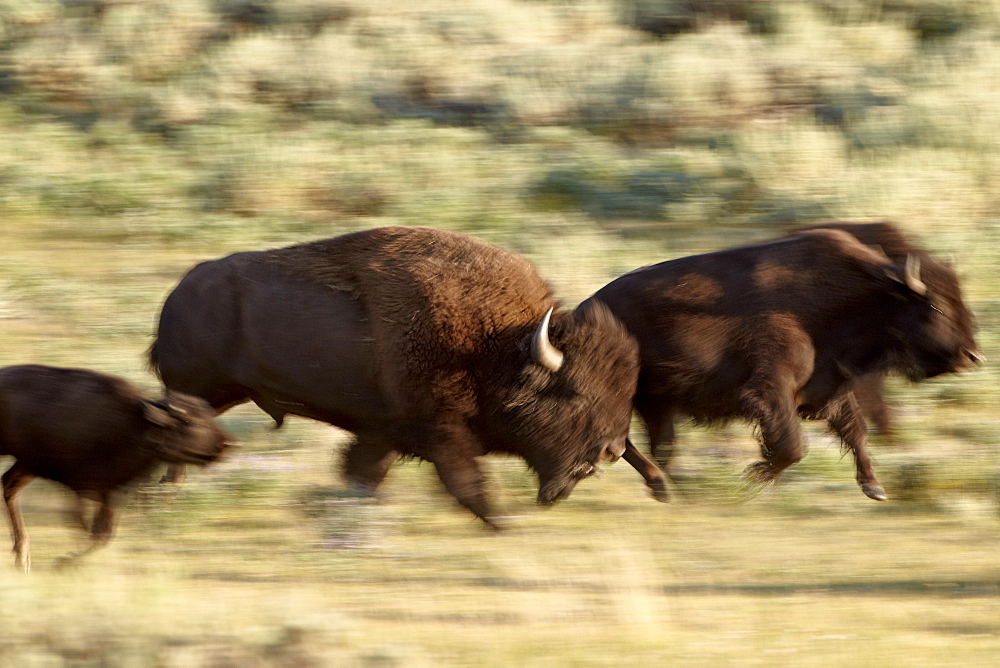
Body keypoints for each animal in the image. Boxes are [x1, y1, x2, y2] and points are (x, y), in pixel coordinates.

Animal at [0, 362, 229, 572]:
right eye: (193, 423)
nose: (226, 445)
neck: (137, 425)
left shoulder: (112, 493)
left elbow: (102, 534)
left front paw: (67, 561)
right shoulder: (79, 486)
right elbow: (84, 525)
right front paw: (65, 561)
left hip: (27, 465)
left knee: (9, 486)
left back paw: (22, 558)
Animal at [148, 227, 636, 528]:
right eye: (573, 391)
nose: (612, 449)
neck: (495, 345)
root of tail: (178, 293)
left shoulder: (381, 432)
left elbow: (364, 472)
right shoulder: (440, 430)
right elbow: (465, 481)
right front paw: (503, 525)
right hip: (197, 390)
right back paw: (161, 498)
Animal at [584, 226, 980, 500]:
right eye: (935, 307)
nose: (972, 356)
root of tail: (585, 307)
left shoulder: (830, 385)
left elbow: (855, 431)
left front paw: (875, 488)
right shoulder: (770, 391)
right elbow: (794, 445)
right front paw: (752, 479)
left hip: (655, 402)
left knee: (645, 444)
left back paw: (670, 488)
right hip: (633, 397)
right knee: (625, 441)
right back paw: (672, 488)